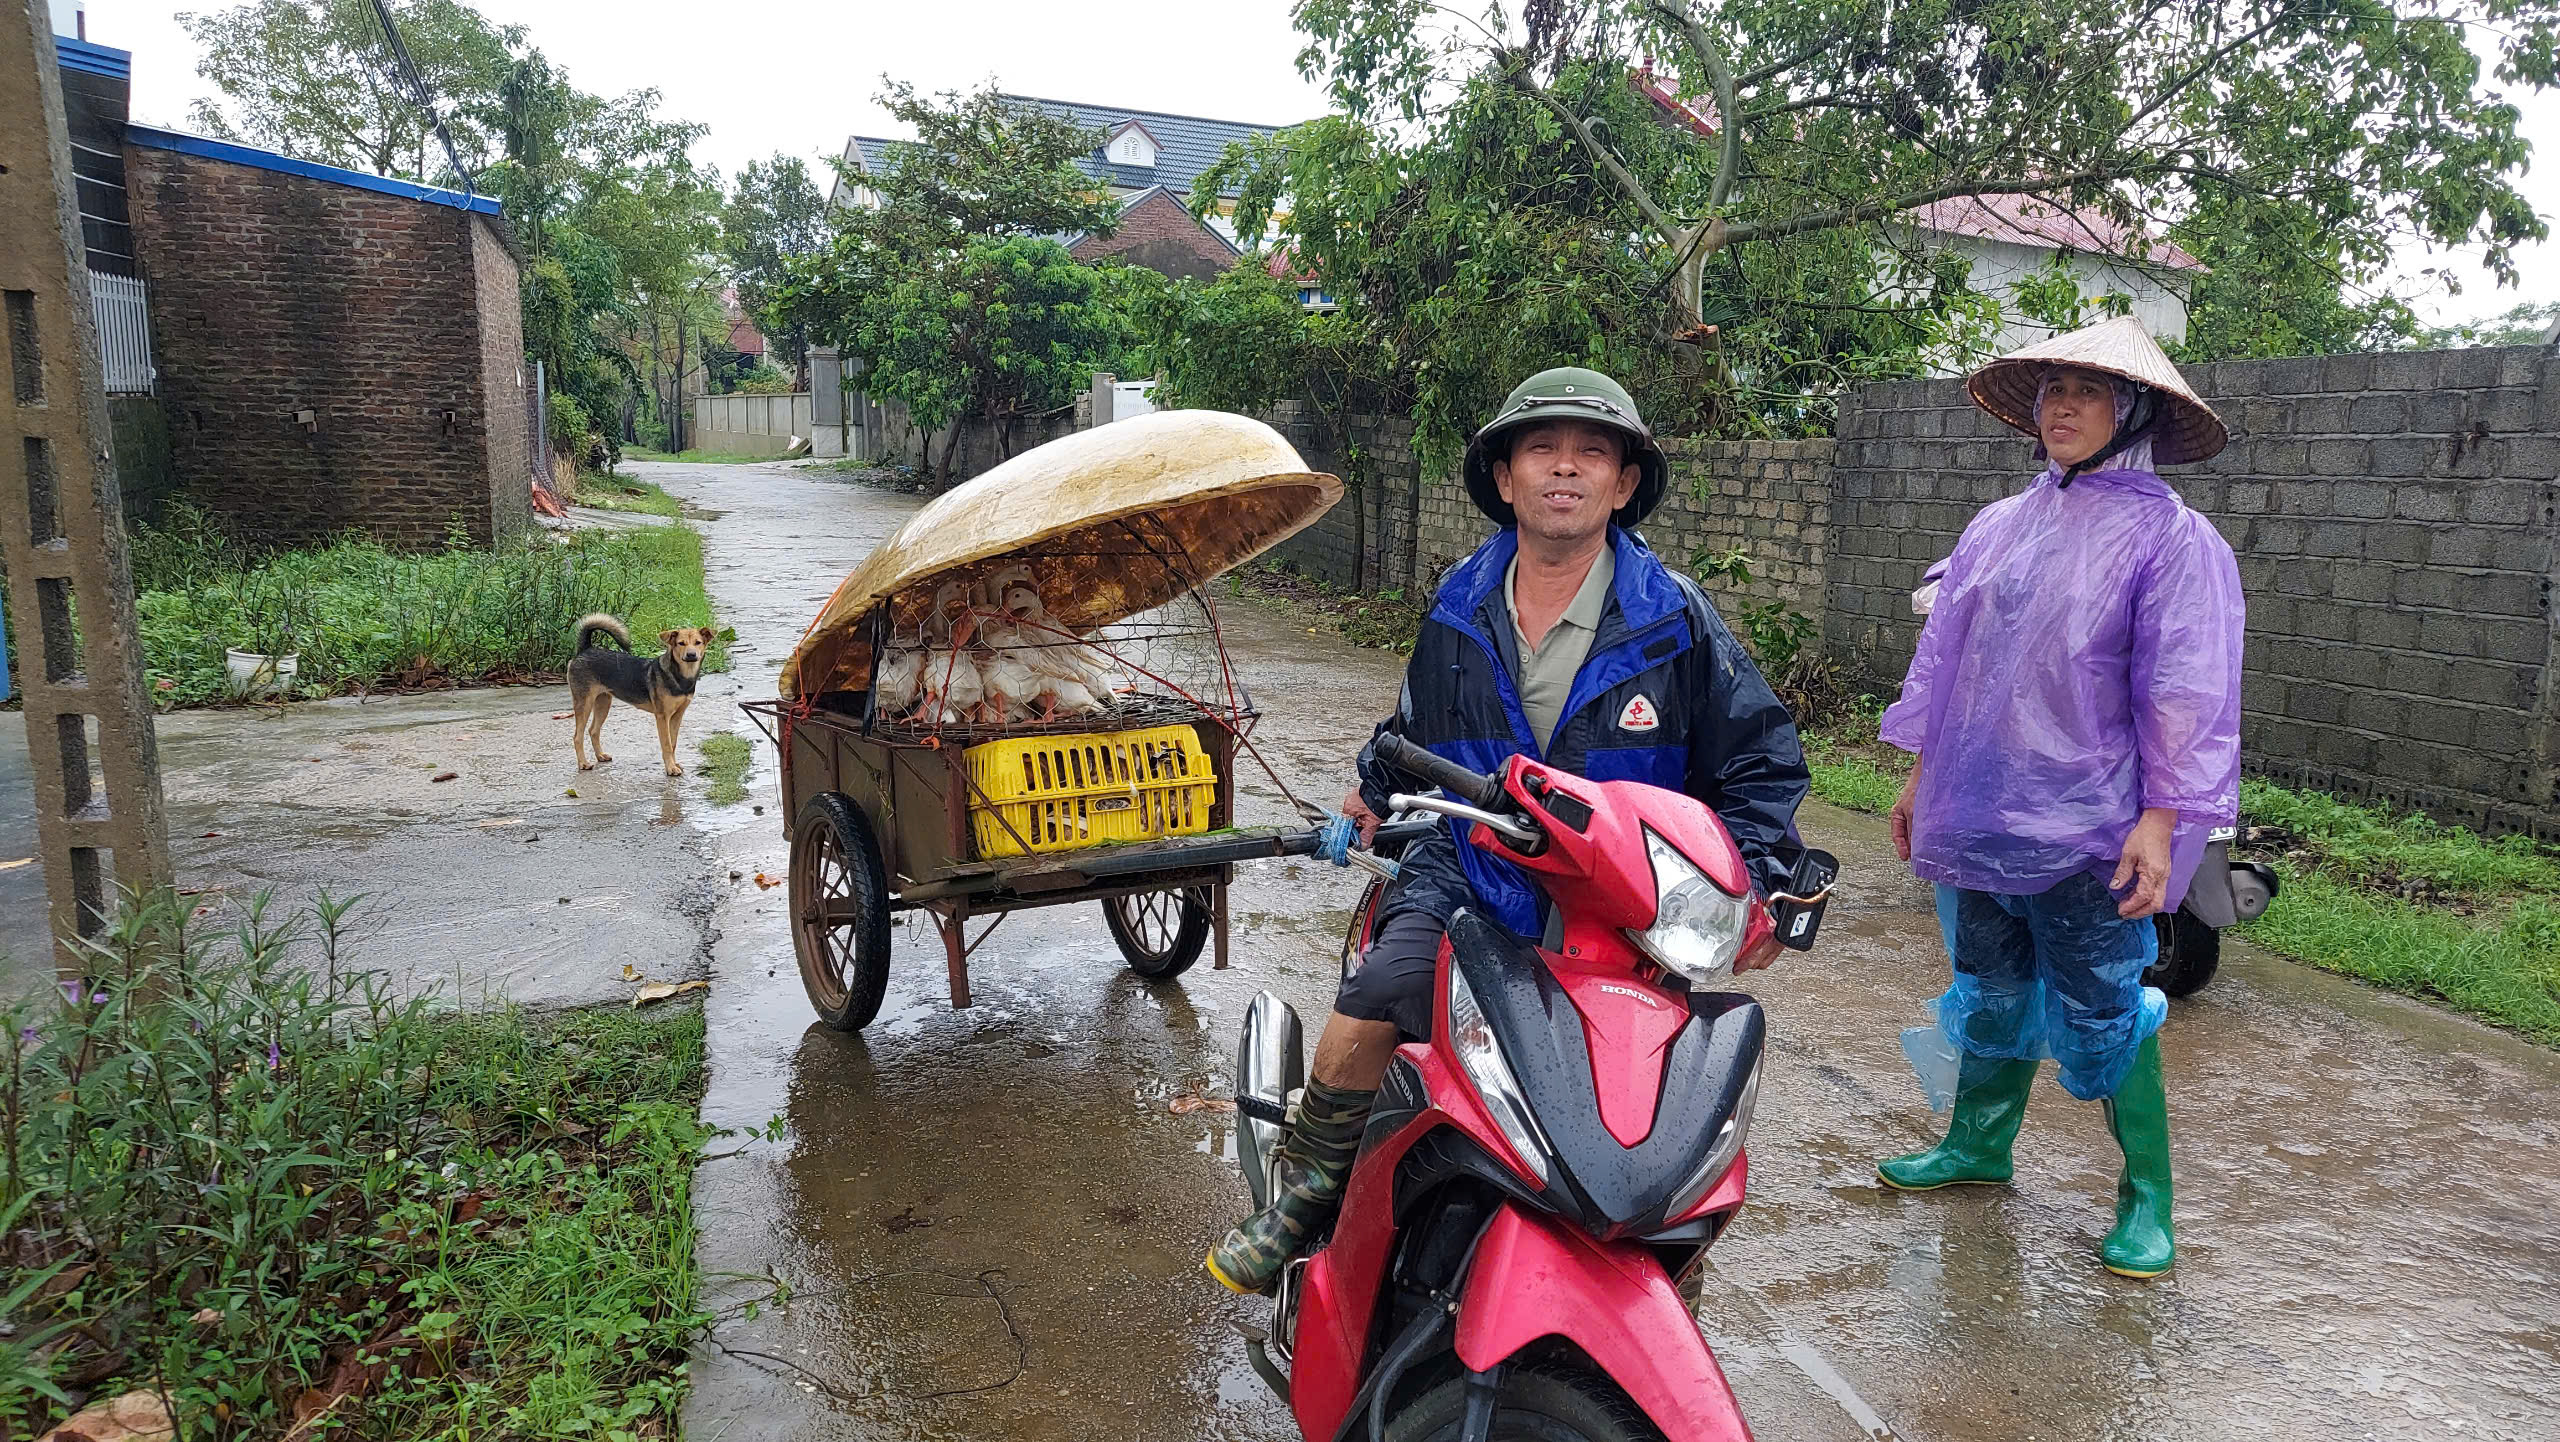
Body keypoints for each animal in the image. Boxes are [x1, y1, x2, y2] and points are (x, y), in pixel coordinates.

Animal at [565, 617, 716, 778]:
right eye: (681, 643)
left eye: (698, 642)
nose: (691, 655)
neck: (679, 676)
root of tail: (585, 649)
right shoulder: (662, 717)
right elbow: (667, 744)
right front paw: (670, 768)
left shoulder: (677, 716)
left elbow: (673, 743)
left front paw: (674, 764)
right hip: (584, 703)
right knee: (577, 736)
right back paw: (583, 763)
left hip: (603, 702)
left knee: (593, 730)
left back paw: (600, 756)